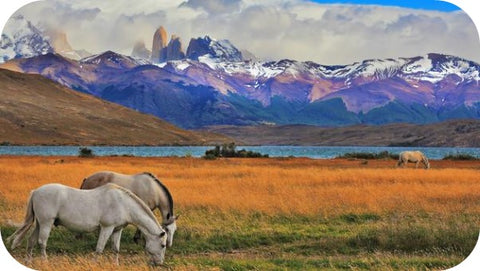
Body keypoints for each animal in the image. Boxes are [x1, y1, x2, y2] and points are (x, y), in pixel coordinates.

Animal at [6, 184, 169, 266]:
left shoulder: (117, 230)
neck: (123, 204)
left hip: (40, 223)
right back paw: (45, 262)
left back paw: (28, 262)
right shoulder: (106, 228)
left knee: (31, 241)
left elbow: (116, 249)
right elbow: (99, 248)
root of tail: (35, 191)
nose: (159, 263)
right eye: (162, 245)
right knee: (42, 242)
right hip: (46, 223)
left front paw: (116, 265)